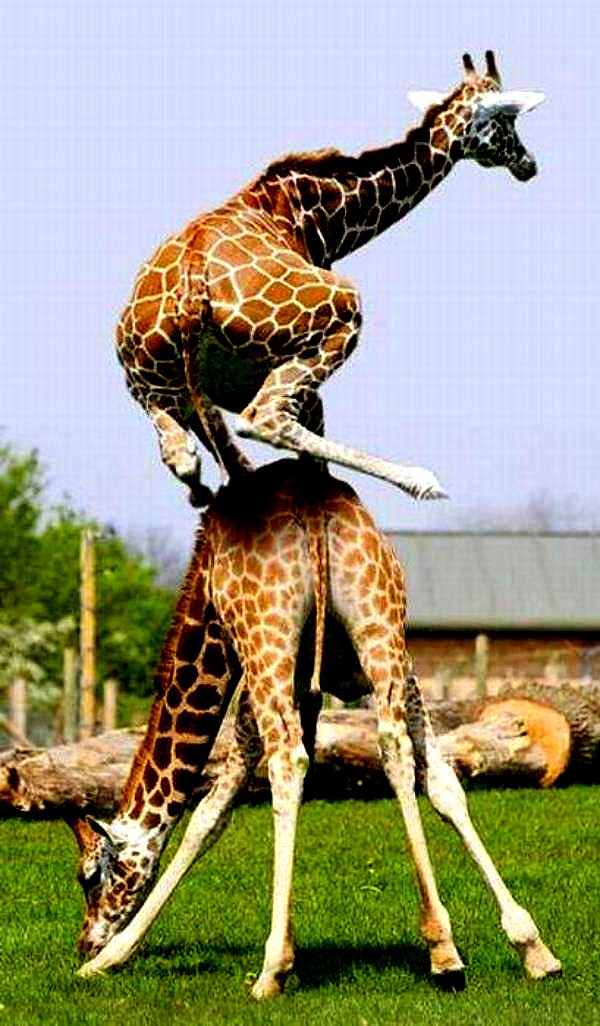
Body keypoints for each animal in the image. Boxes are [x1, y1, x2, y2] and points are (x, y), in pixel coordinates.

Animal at [71, 459, 560, 997]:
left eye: (89, 876)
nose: (85, 942)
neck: (206, 620)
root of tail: (313, 502)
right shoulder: (375, 679)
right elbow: (443, 785)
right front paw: (528, 943)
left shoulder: (254, 686)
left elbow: (208, 816)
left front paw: (113, 957)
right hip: (380, 627)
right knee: (393, 748)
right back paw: (447, 951)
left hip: (267, 638)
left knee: (288, 763)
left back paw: (270, 971)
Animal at [116, 51, 545, 506]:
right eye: (507, 119)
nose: (528, 164)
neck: (323, 218)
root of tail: (191, 286)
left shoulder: (228, 386)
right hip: (338, 317)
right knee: (264, 420)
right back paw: (421, 480)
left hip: (154, 387)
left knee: (184, 458)